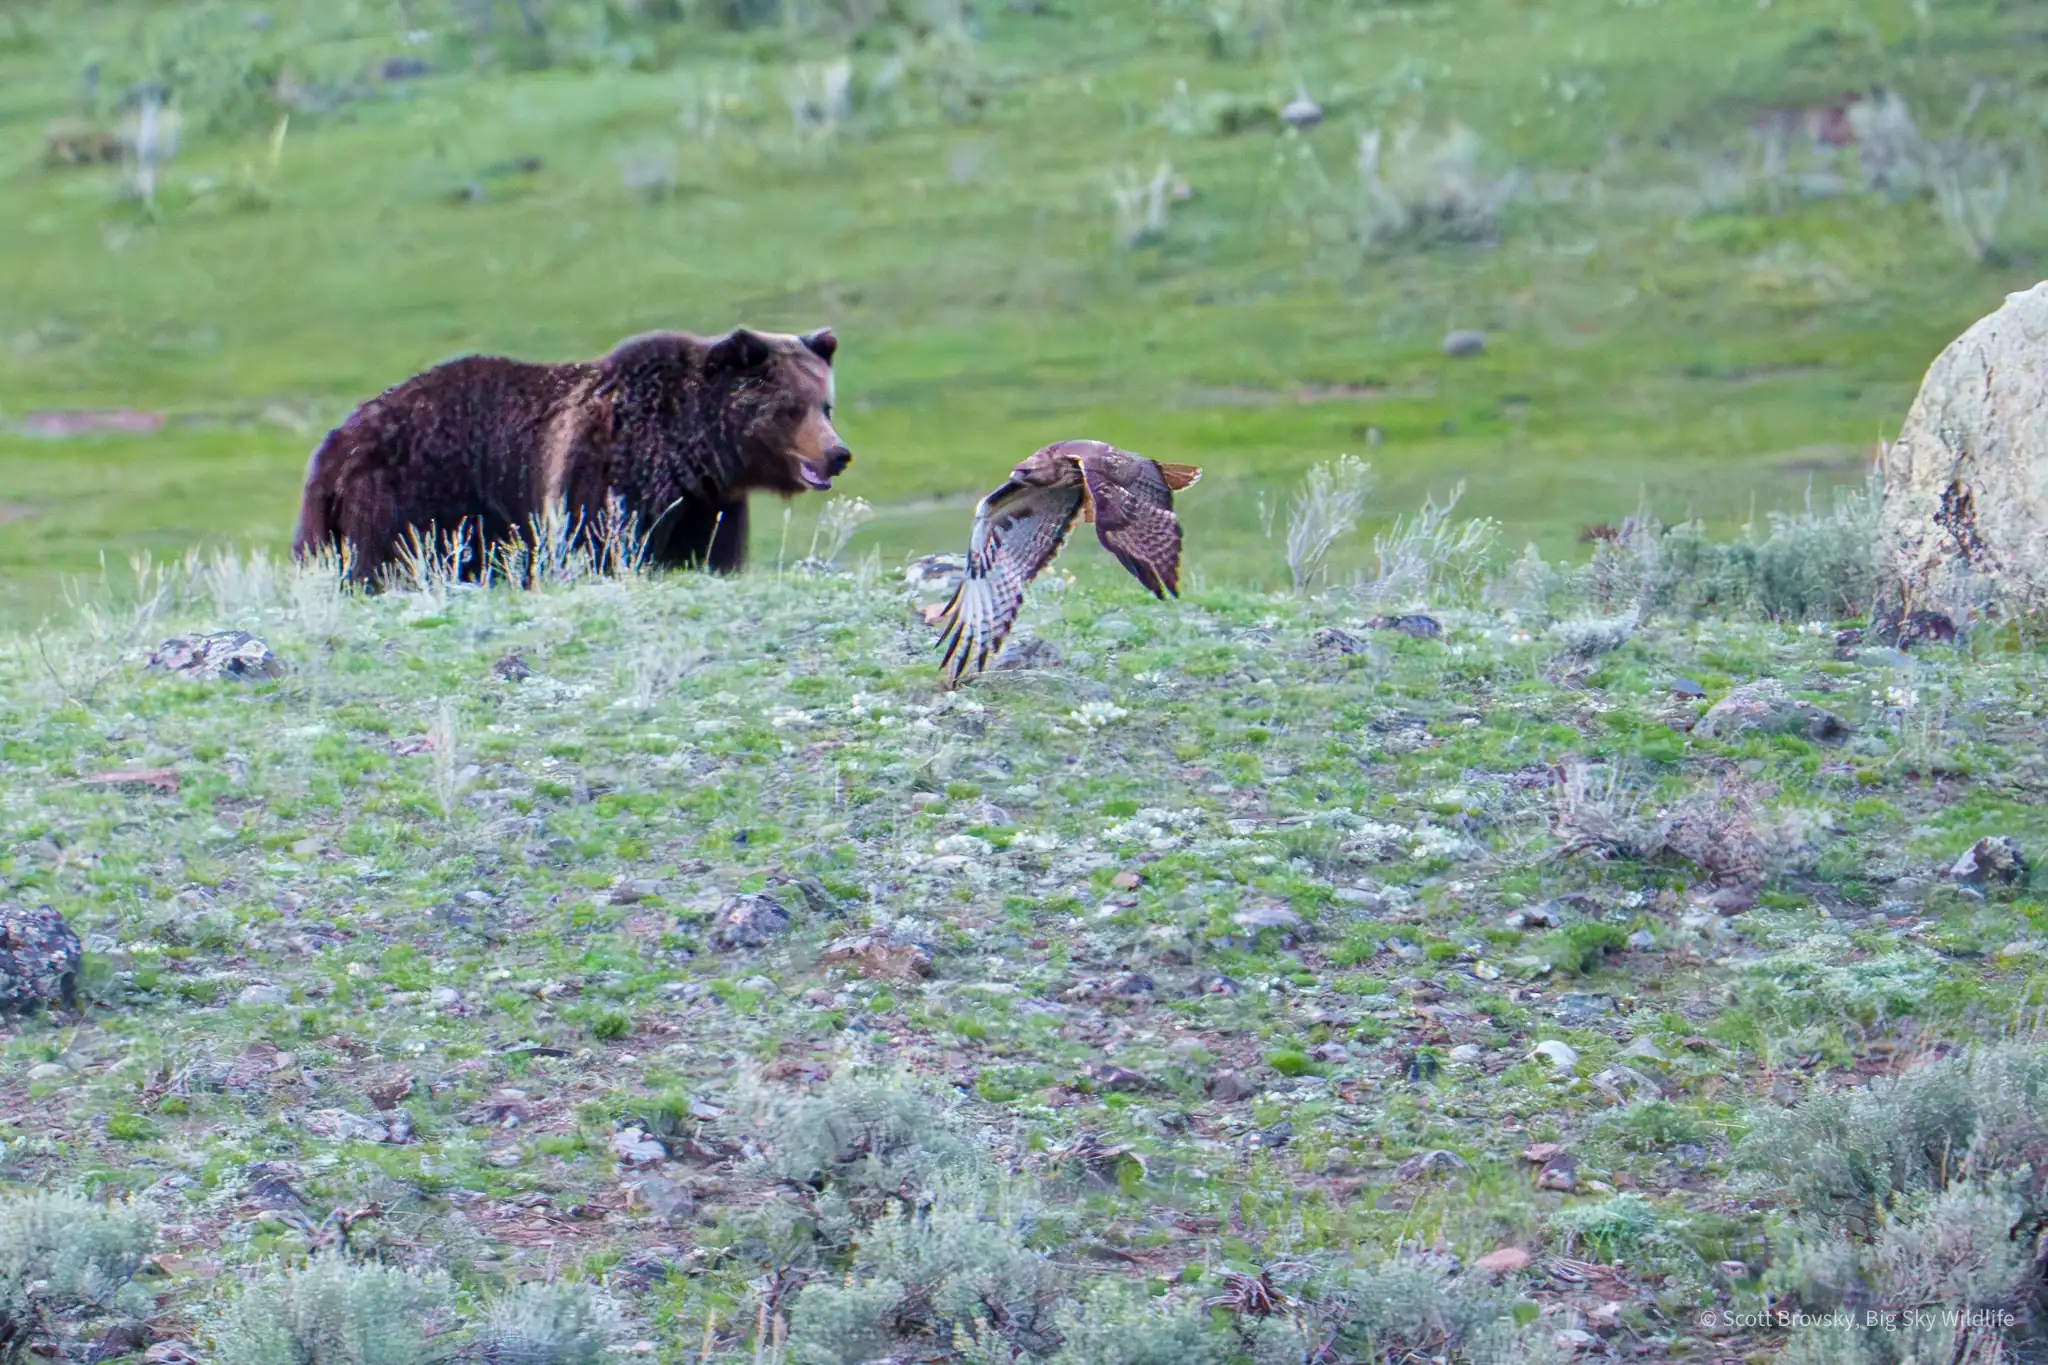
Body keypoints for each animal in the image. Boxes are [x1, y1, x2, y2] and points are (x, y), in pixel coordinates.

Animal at [291, 325, 850, 585]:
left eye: (825, 404)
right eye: (789, 408)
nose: (838, 453)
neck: (692, 455)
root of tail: (336, 442)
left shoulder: (708, 506)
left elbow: (707, 553)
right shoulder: (607, 476)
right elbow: (601, 543)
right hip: (402, 502)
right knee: (379, 563)